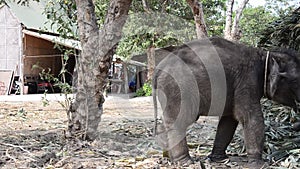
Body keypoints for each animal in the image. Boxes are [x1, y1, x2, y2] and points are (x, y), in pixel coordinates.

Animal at [154, 37, 298, 168]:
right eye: (297, 80)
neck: (266, 54)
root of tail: (159, 68)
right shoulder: (247, 82)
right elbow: (251, 118)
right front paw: (260, 164)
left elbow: (229, 120)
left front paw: (219, 159)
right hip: (178, 88)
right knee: (179, 120)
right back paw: (184, 161)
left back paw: (167, 155)